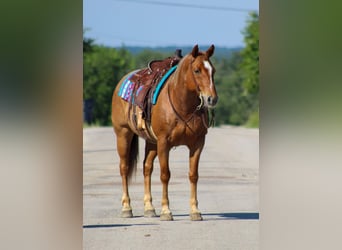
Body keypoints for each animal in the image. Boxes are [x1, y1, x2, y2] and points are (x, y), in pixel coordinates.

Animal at [112, 45, 219, 221]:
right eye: (196, 70)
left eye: (213, 71)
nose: (212, 99)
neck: (182, 105)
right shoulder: (164, 143)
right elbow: (165, 175)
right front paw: (166, 211)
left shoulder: (197, 144)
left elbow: (193, 175)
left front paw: (195, 210)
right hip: (123, 134)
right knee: (124, 168)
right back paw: (127, 208)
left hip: (151, 142)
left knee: (147, 168)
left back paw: (149, 208)